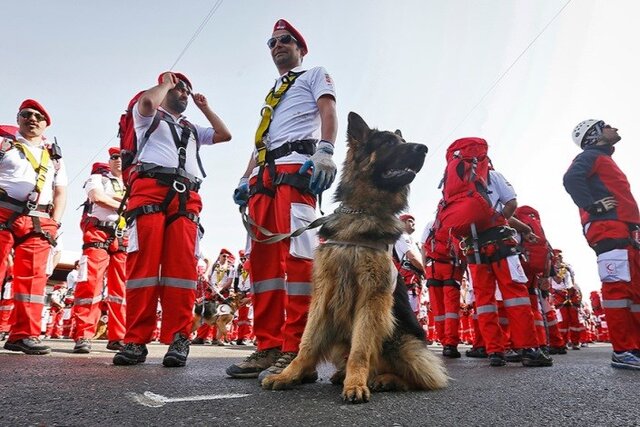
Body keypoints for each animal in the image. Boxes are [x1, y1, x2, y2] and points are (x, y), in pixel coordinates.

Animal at [262, 112, 448, 402]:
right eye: (388, 143)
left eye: (402, 141)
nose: (424, 148)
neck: (362, 213)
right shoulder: (323, 292)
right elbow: (307, 342)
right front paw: (288, 374)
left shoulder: (371, 297)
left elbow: (360, 349)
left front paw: (356, 384)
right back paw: (342, 375)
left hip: (401, 340)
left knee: (423, 377)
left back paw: (383, 379)